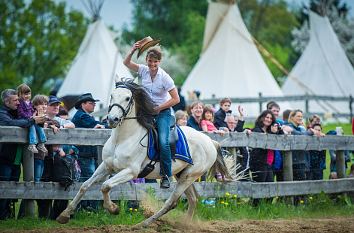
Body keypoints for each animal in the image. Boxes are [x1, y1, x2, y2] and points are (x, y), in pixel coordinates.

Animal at [56, 79, 231, 227]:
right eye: (112, 95)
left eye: (127, 98)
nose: (112, 119)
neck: (122, 139)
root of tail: (210, 141)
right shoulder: (106, 166)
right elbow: (84, 186)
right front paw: (64, 215)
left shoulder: (131, 172)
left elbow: (105, 186)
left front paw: (113, 209)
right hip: (182, 174)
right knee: (193, 199)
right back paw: (184, 225)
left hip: (188, 177)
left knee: (172, 202)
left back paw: (143, 224)